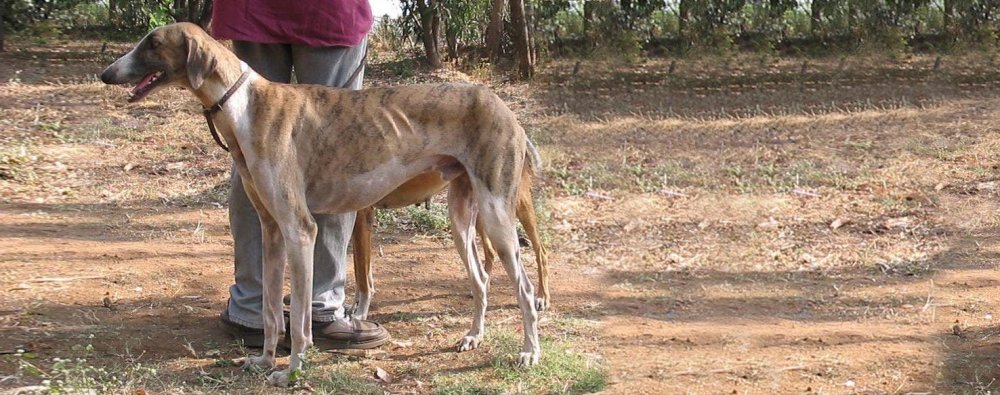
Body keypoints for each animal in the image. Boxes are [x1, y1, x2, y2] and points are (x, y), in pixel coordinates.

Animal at [99, 22, 548, 386]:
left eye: (153, 43)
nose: (105, 74)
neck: (244, 106)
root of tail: (505, 108)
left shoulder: (300, 229)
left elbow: (298, 316)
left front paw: (293, 369)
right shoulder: (272, 230)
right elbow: (269, 310)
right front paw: (265, 361)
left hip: (498, 218)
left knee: (525, 288)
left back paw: (529, 351)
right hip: (463, 219)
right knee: (482, 279)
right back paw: (474, 336)